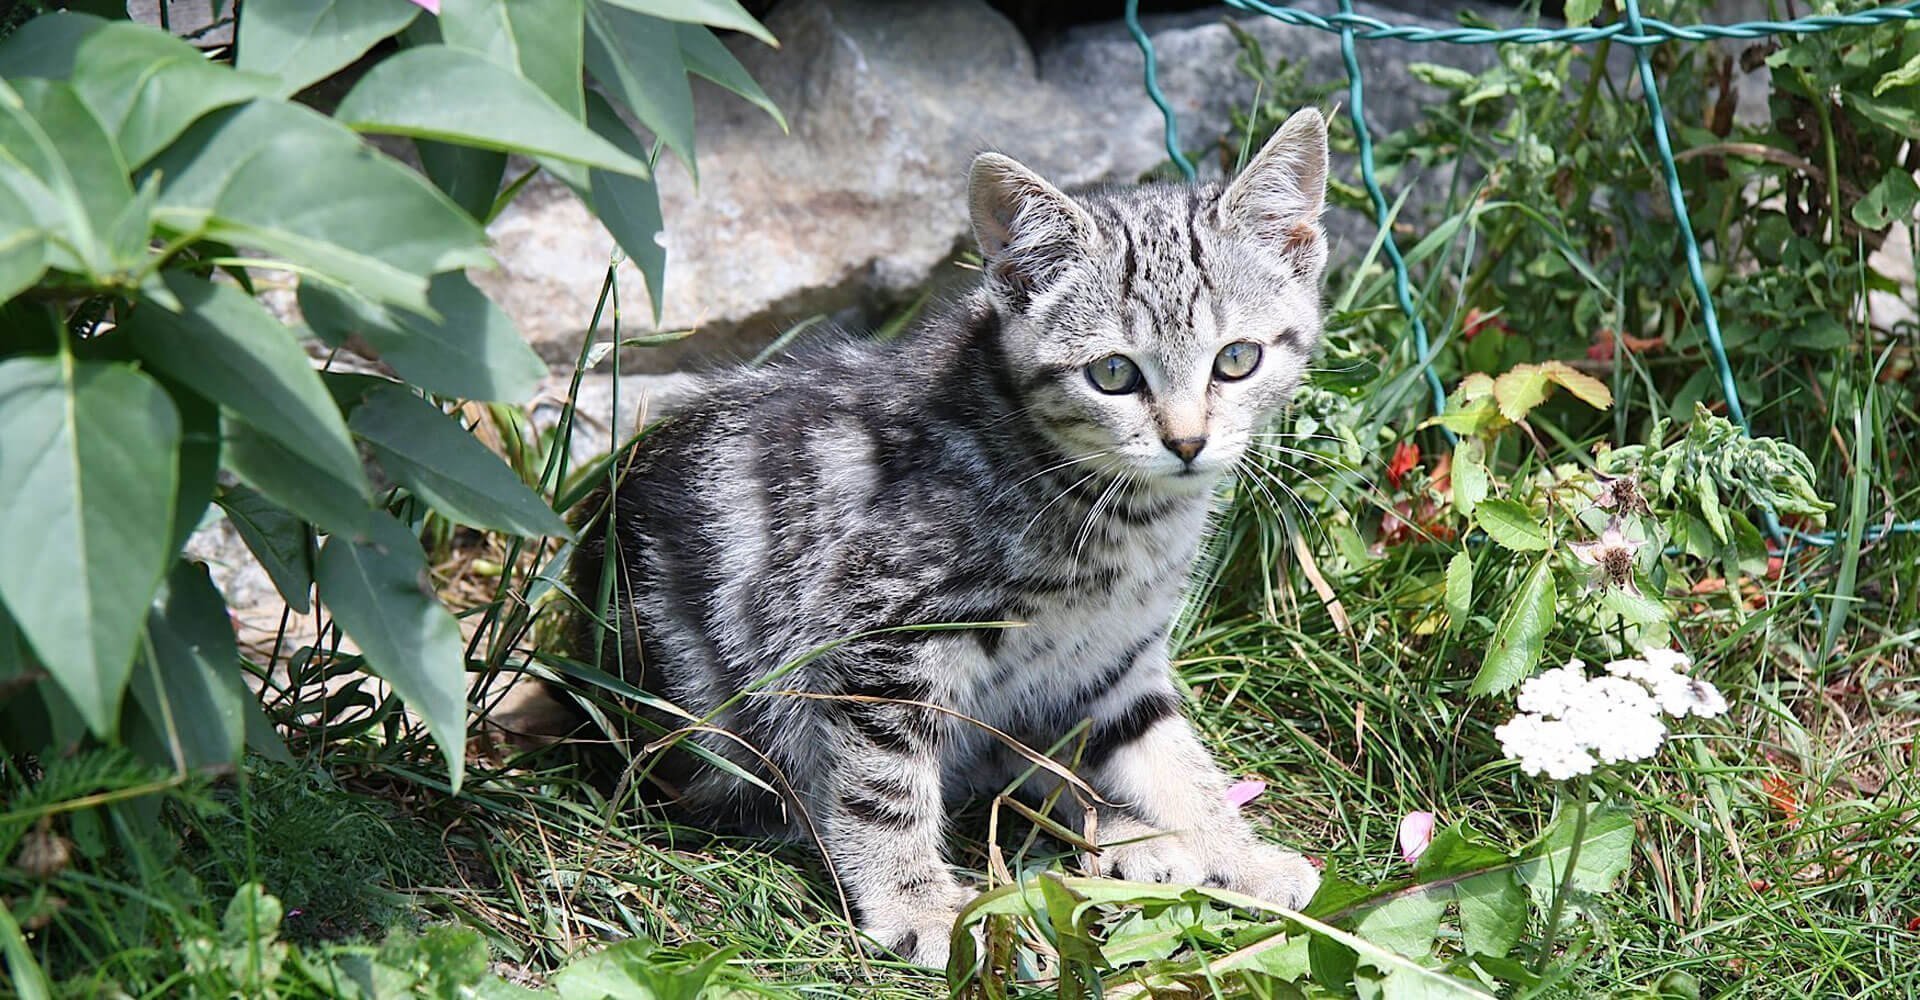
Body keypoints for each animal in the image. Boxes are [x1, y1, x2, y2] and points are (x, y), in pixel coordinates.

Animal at [560, 105, 1328, 963]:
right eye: (1113, 374)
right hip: (705, 724)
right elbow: (881, 784)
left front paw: (1233, 849)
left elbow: (1168, 755)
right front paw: (920, 909)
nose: (1188, 442)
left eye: (1237, 359)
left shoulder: (1113, 656)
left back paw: (1133, 838)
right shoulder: (880, 630)